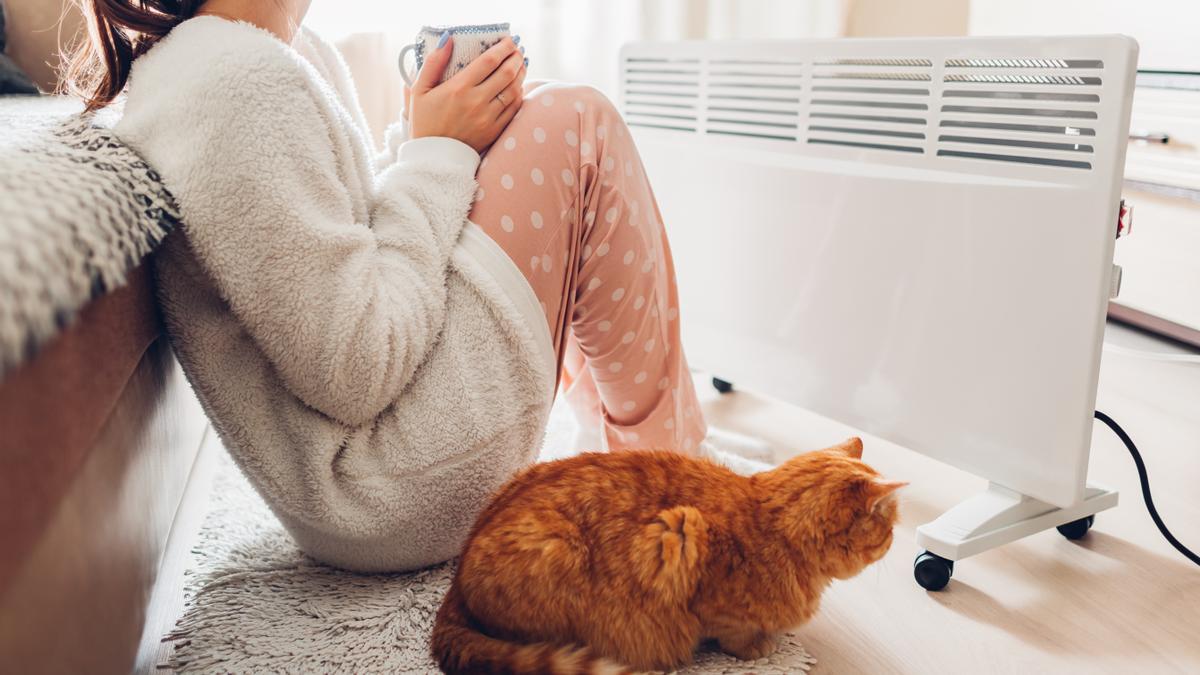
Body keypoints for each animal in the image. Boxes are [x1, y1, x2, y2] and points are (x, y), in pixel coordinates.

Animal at [429, 432, 902, 667]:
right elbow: (734, 633)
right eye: (889, 527)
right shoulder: (682, 537)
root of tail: (454, 588)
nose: (896, 540)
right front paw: (758, 647)